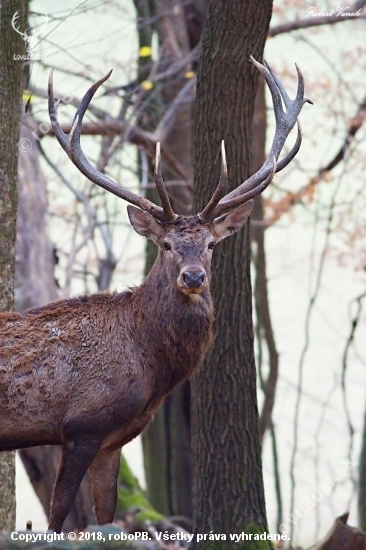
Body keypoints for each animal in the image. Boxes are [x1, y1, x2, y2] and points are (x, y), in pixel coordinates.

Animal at [0, 59, 312, 536]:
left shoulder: (113, 441)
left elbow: (107, 517)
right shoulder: (80, 424)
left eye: (211, 244)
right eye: (166, 245)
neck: (150, 366)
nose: (193, 276)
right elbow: (58, 518)